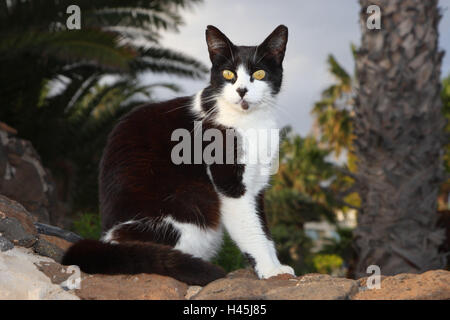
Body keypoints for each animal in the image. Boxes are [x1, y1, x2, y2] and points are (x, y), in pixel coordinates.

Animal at [63, 24, 296, 284]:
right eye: (228, 74)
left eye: (259, 74)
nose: (242, 91)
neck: (251, 121)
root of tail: (108, 239)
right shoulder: (232, 186)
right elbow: (252, 230)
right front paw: (270, 270)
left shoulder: (257, 185)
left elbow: (264, 229)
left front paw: (276, 265)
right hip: (189, 202)